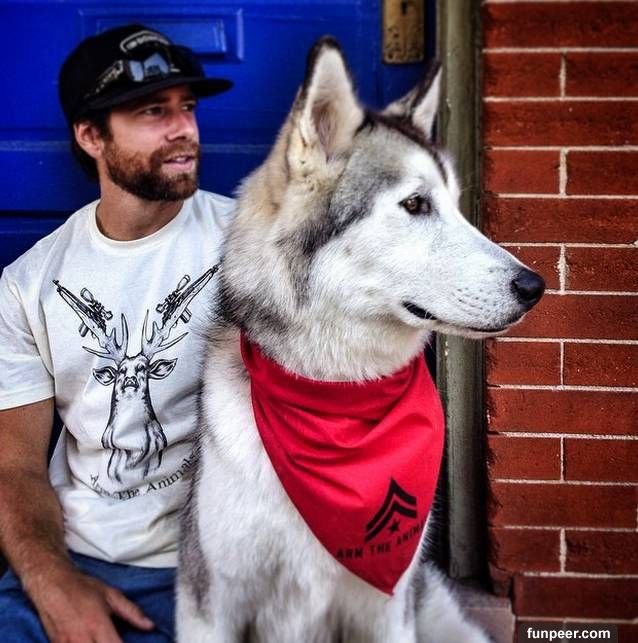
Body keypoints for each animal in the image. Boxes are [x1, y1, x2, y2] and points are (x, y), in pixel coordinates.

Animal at [177, 37, 545, 643]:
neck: (337, 399)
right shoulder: (210, 603)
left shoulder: (388, 608)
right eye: (416, 205)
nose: (534, 286)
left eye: (457, 204)